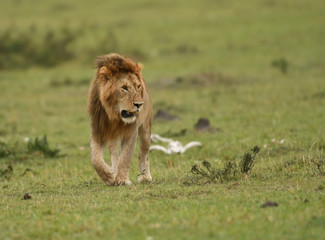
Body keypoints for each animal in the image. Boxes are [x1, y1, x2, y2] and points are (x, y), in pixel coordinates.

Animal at [87, 54, 153, 186]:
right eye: (124, 88)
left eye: (138, 86)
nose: (139, 104)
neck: (114, 116)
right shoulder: (98, 131)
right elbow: (95, 160)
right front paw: (109, 177)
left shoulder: (131, 132)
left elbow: (125, 158)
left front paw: (122, 180)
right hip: (113, 138)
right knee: (114, 154)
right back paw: (113, 171)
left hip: (145, 130)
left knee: (143, 154)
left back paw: (145, 177)